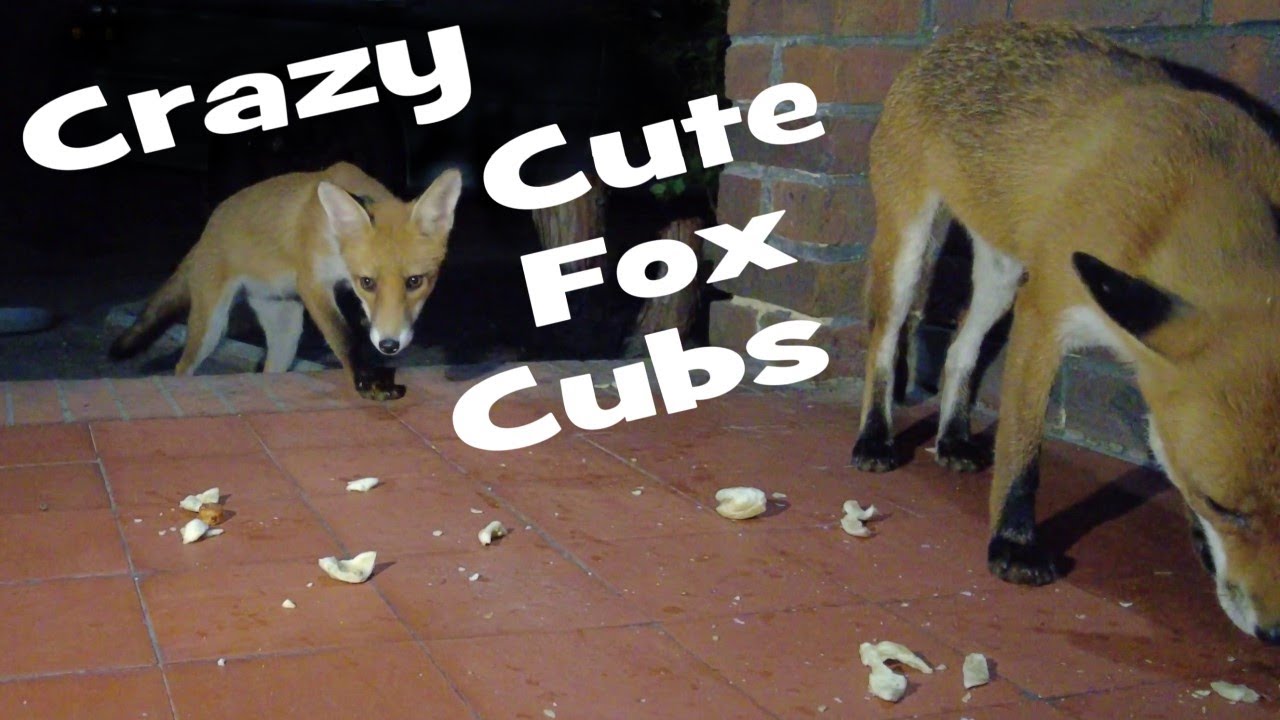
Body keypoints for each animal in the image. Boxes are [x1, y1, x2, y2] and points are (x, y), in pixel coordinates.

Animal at [110, 162, 462, 399]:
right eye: (367, 282)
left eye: (414, 281)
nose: (390, 345)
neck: (334, 236)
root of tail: (207, 231)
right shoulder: (313, 283)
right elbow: (344, 338)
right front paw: (365, 380)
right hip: (211, 327)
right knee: (183, 367)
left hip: (286, 332)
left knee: (270, 370)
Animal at [850, 22, 1280, 643]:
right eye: (1223, 505)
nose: (1274, 633)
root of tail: (955, 35)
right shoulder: (1046, 311)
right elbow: (1023, 450)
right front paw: (1014, 544)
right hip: (910, 248)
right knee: (884, 348)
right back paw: (874, 439)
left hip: (1002, 273)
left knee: (959, 352)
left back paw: (951, 438)